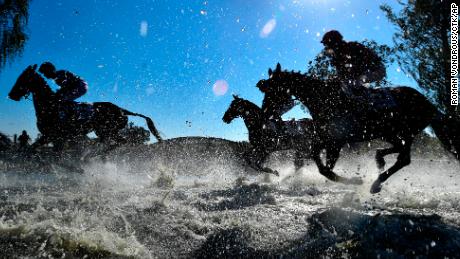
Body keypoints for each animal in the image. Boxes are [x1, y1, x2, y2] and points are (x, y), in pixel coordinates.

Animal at [7, 65, 164, 154]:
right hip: (105, 132)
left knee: (122, 141)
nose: (11, 94)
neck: (49, 106)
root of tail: (122, 110)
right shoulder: (55, 137)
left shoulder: (52, 135)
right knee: (114, 142)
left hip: (107, 130)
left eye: (23, 78)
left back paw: (97, 155)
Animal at [258, 63, 460, 193]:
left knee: (404, 158)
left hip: (404, 132)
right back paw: (379, 160)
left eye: (273, 90)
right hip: (390, 133)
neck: (324, 98)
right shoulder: (325, 140)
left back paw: (376, 183)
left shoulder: (336, 142)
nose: (264, 112)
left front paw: (355, 181)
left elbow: (325, 169)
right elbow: (316, 160)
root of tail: (429, 105)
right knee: (397, 151)